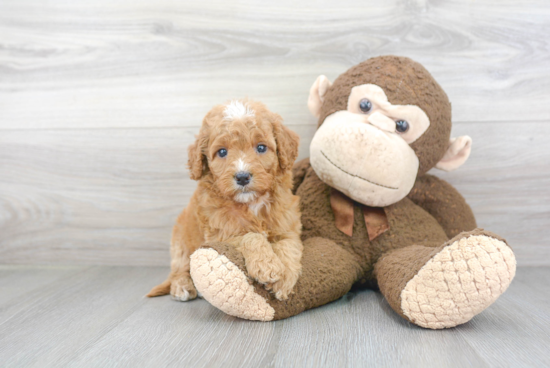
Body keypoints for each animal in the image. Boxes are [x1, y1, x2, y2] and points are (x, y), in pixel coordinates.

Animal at [148, 99, 302, 300]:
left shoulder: (287, 226)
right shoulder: (221, 235)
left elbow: (288, 246)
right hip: (180, 243)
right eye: (222, 152)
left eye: (261, 147)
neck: (251, 203)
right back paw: (182, 286)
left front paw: (284, 280)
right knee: (179, 269)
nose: (242, 177)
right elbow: (250, 236)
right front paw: (266, 265)